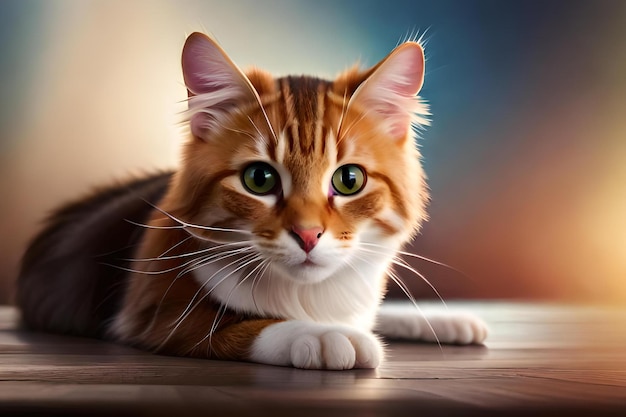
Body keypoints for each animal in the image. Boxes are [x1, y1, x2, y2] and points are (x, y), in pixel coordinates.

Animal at [13, 33, 482, 370]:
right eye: (259, 179)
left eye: (349, 180)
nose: (308, 235)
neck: (309, 297)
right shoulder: (152, 313)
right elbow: (243, 326)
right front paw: (323, 336)